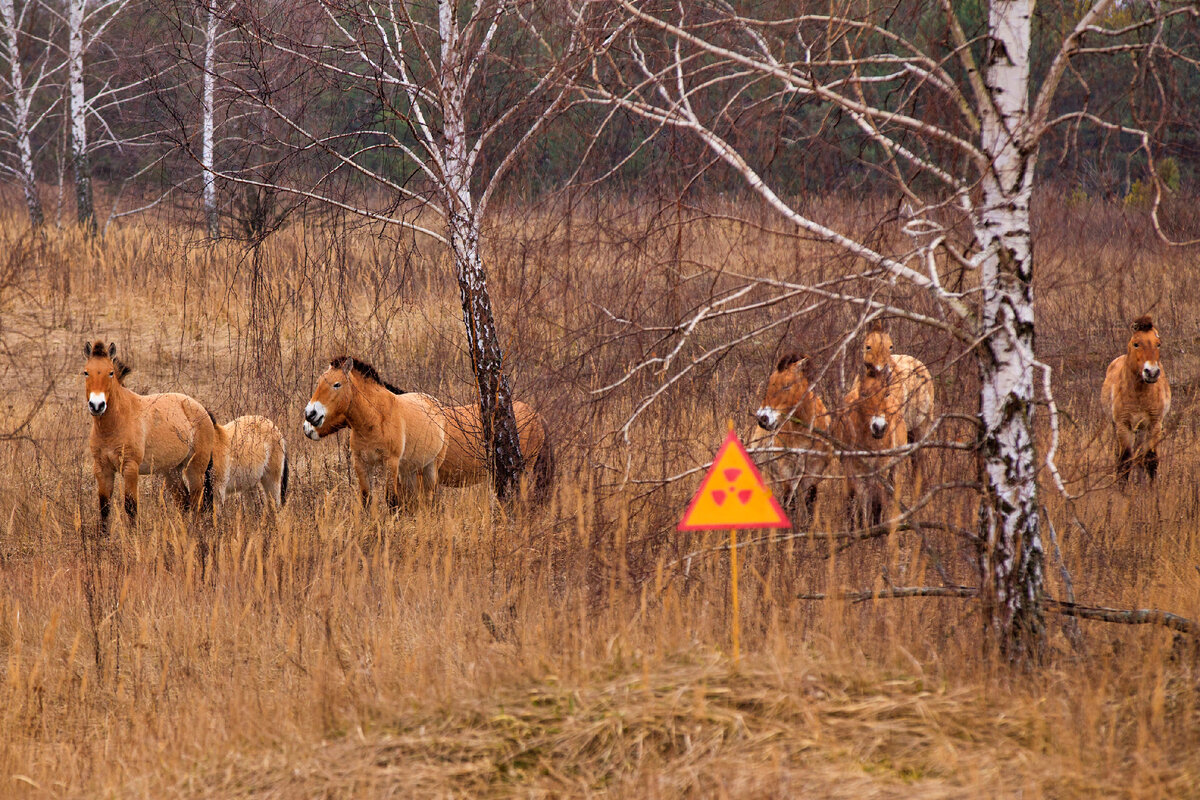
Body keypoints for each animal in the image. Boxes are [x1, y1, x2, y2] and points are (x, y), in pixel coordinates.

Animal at [82, 340, 216, 532]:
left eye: (111, 372)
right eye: (86, 372)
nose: (97, 405)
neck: (113, 425)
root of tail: (202, 409)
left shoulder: (130, 468)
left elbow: (130, 507)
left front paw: (133, 537)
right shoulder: (102, 469)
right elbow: (104, 509)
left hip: (195, 468)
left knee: (197, 501)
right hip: (171, 471)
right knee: (184, 501)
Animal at [302, 357, 448, 506]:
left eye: (337, 384)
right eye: (319, 382)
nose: (310, 414)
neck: (374, 419)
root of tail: (436, 404)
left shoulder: (391, 463)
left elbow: (391, 500)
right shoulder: (361, 463)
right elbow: (366, 499)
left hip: (431, 467)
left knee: (429, 497)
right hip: (408, 471)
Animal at [753, 352, 830, 522]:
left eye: (787, 385)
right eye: (770, 383)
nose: (763, 419)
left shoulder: (814, 470)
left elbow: (809, 502)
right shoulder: (786, 469)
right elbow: (790, 502)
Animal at [835, 371, 907, 532]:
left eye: (886, 393)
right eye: (864, 394)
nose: (879, 427)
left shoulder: (881, 469)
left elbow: (876, 502)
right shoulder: (854, 469)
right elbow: (859, 502)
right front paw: (859, 531)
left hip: (896, 468)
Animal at [1099, 314, 1166, 482]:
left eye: (1158, 344)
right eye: (1136, 344)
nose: (1152, 372)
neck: (1140, 394)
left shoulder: (1154, 424)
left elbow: (1151, 460)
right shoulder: (1123, 425)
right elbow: (1124, 462)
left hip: (1141, 429)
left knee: (1140, 457)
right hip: (1118, 426)